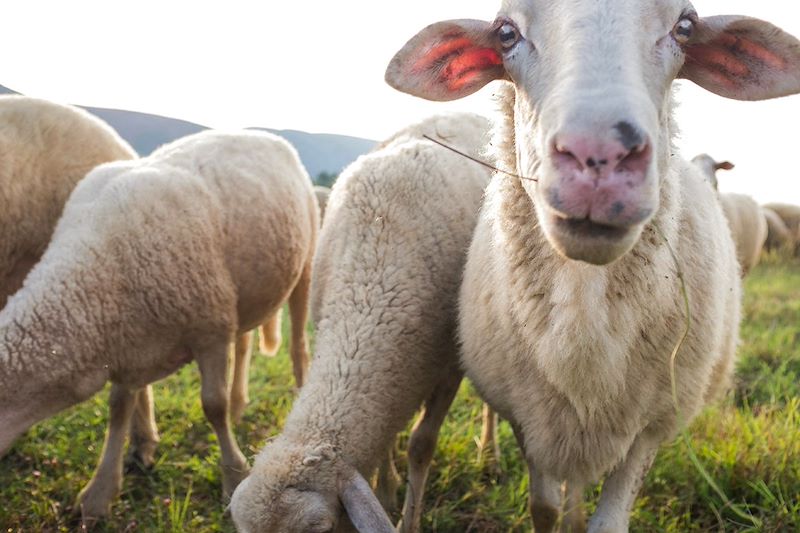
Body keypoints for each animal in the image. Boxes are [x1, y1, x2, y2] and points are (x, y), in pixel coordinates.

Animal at [0, 129, 318, 520]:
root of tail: (262, 133)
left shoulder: (210, 329)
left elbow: (213, 406)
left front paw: (233, 476)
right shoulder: (127, 346)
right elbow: (118, 410)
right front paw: (100, 492)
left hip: (303, 268)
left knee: (298, 344)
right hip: (245, 296)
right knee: (244, 345)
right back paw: (240, 403)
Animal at [230, 112, 494, 532]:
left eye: (318, 530)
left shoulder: (449, 368)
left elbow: (421, 445)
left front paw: (409, 520)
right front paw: (386, 490)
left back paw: (490, 451)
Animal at [384, 3, 796, 528]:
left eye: (685, 27)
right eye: (505, 33)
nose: (599, 155)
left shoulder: (651, 425)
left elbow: (607, 522)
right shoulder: (531, 419)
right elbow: (543, 508)